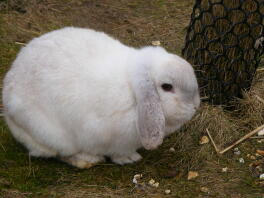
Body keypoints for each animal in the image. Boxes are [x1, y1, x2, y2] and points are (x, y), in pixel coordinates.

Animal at [2, 27, 200, 168]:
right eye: (167, 87)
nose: (195, 106)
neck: (134, 96)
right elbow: (118, 152)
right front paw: (130, 158)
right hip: (50, 134)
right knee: (59, 153)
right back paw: (87, 159)